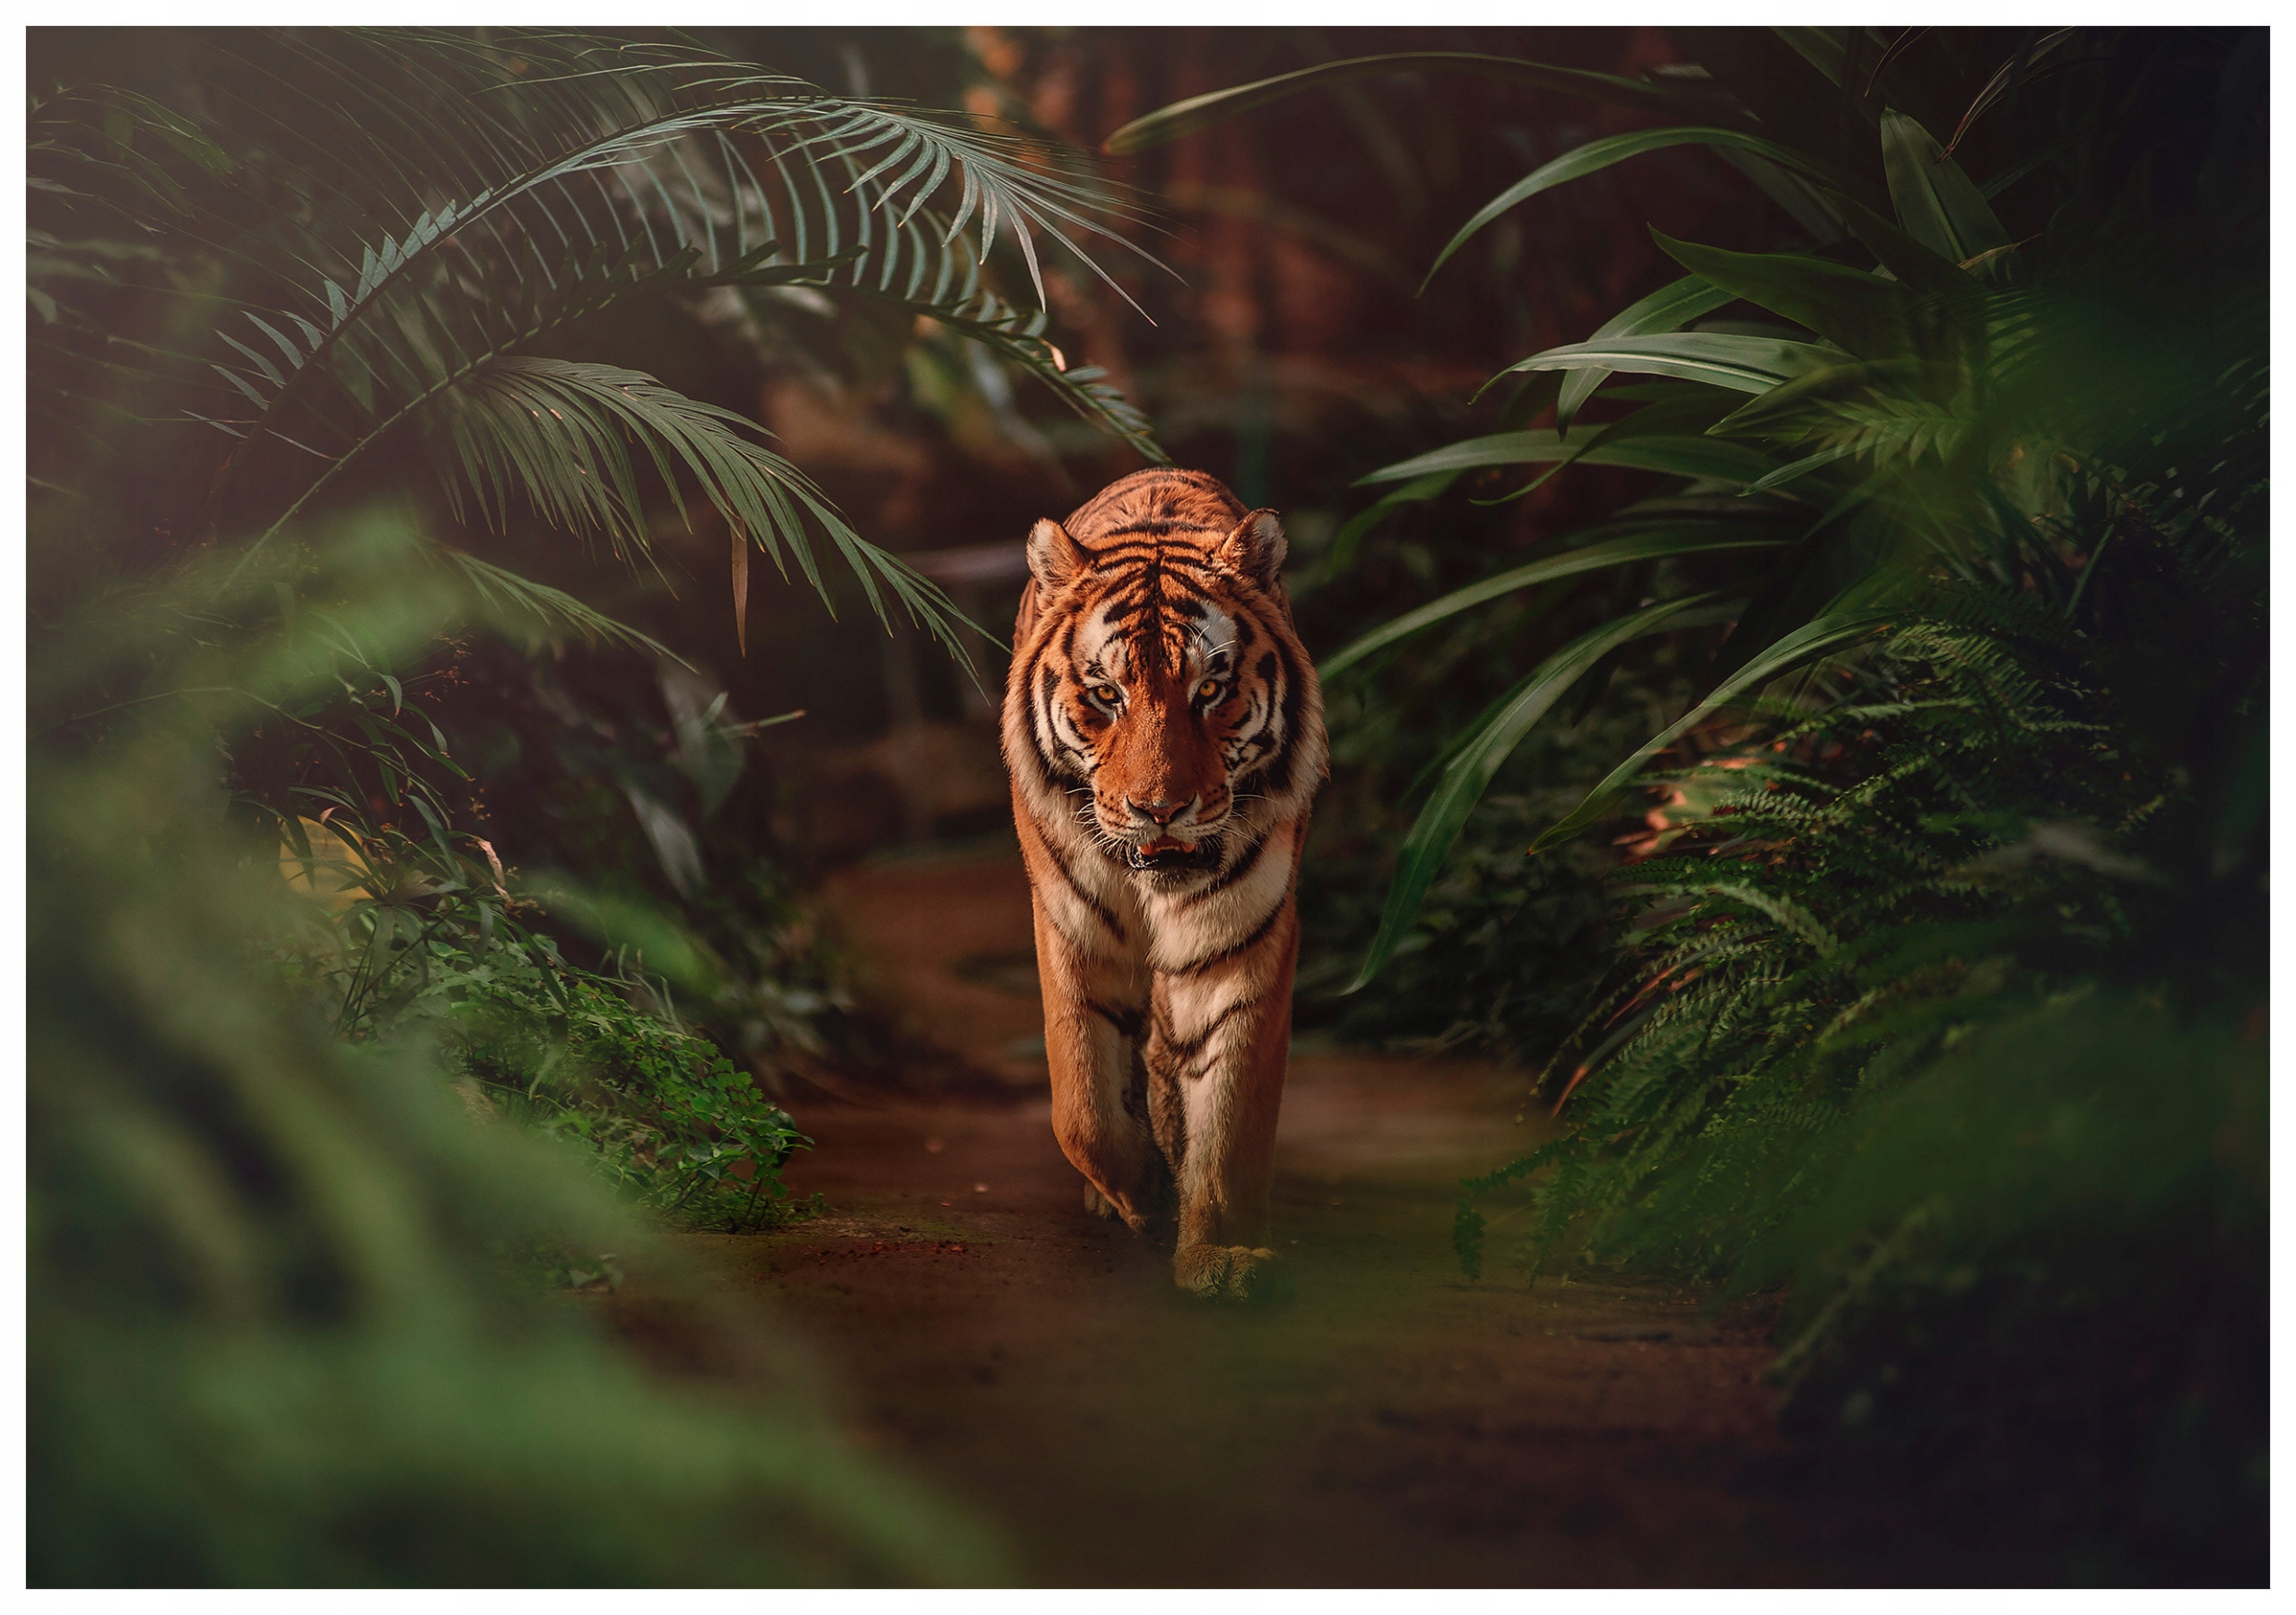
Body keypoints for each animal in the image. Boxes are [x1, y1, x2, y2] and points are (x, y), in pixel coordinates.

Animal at [1001, 467, 1327, 1301]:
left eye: (1209, 691)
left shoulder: (1240, 944)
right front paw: (1142, 1193)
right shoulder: (1072, 932)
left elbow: (1232, 1119)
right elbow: (1081, 1103)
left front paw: (1222, 1252)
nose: (1160, 809)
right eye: (1106, 695)